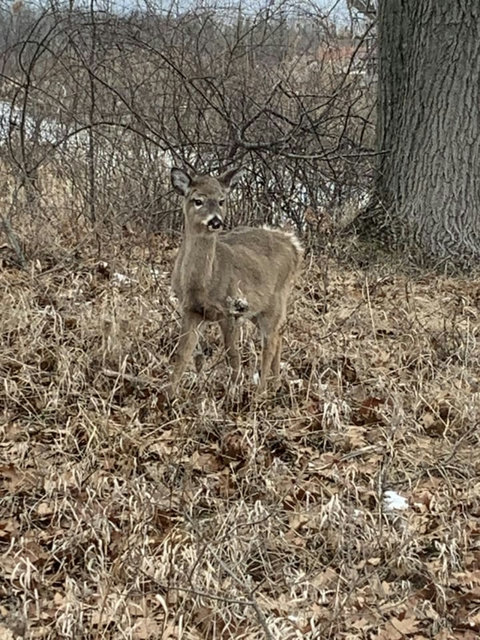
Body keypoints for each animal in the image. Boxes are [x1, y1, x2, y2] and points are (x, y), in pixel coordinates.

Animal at [169, 166, 302, 394]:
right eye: (198, 200)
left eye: (222, 200)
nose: (216, 221)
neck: (203, 283)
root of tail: (292, 245)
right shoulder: (191, 309)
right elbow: (185, 354)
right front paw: (170, 392)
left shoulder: (229, 311)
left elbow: (233, 357)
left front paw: (231, 394)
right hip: (256, 310)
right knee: (279, 337)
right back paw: (275, 385)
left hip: (275, 302)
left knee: (270, 343)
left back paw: (260, 393)